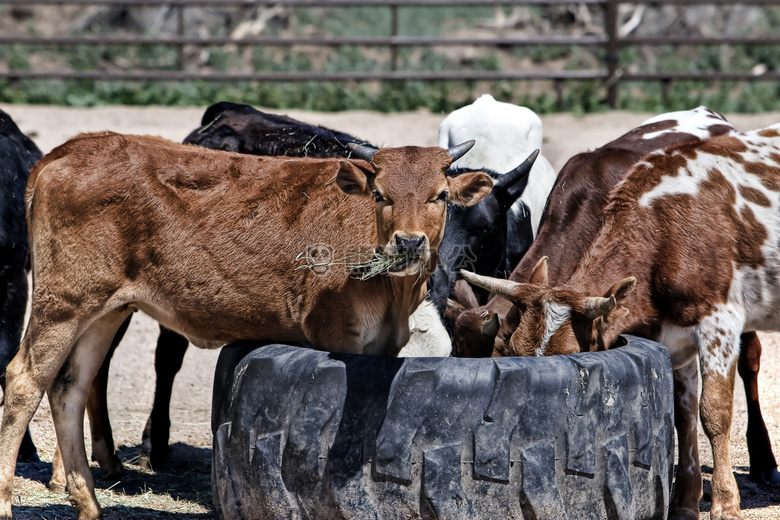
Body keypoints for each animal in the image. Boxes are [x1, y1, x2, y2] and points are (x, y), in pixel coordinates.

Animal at [0, 134, 488, 520]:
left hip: (105, 310)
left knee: (71, 387)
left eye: (440, 196)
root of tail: (69, 150)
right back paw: (7, 502)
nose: (408, 242)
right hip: (64, 302)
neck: (394, 293)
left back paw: (89, 504)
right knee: (24, 380)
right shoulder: (338, 336)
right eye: (380, 195)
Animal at [460, 123, 780, 520]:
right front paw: (685, 501)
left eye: (572, 354)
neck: (665, 229)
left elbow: (713, 412)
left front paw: (724, 501)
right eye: (514, 351)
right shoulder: (675, 339)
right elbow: (684, 416)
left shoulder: (719, 322)